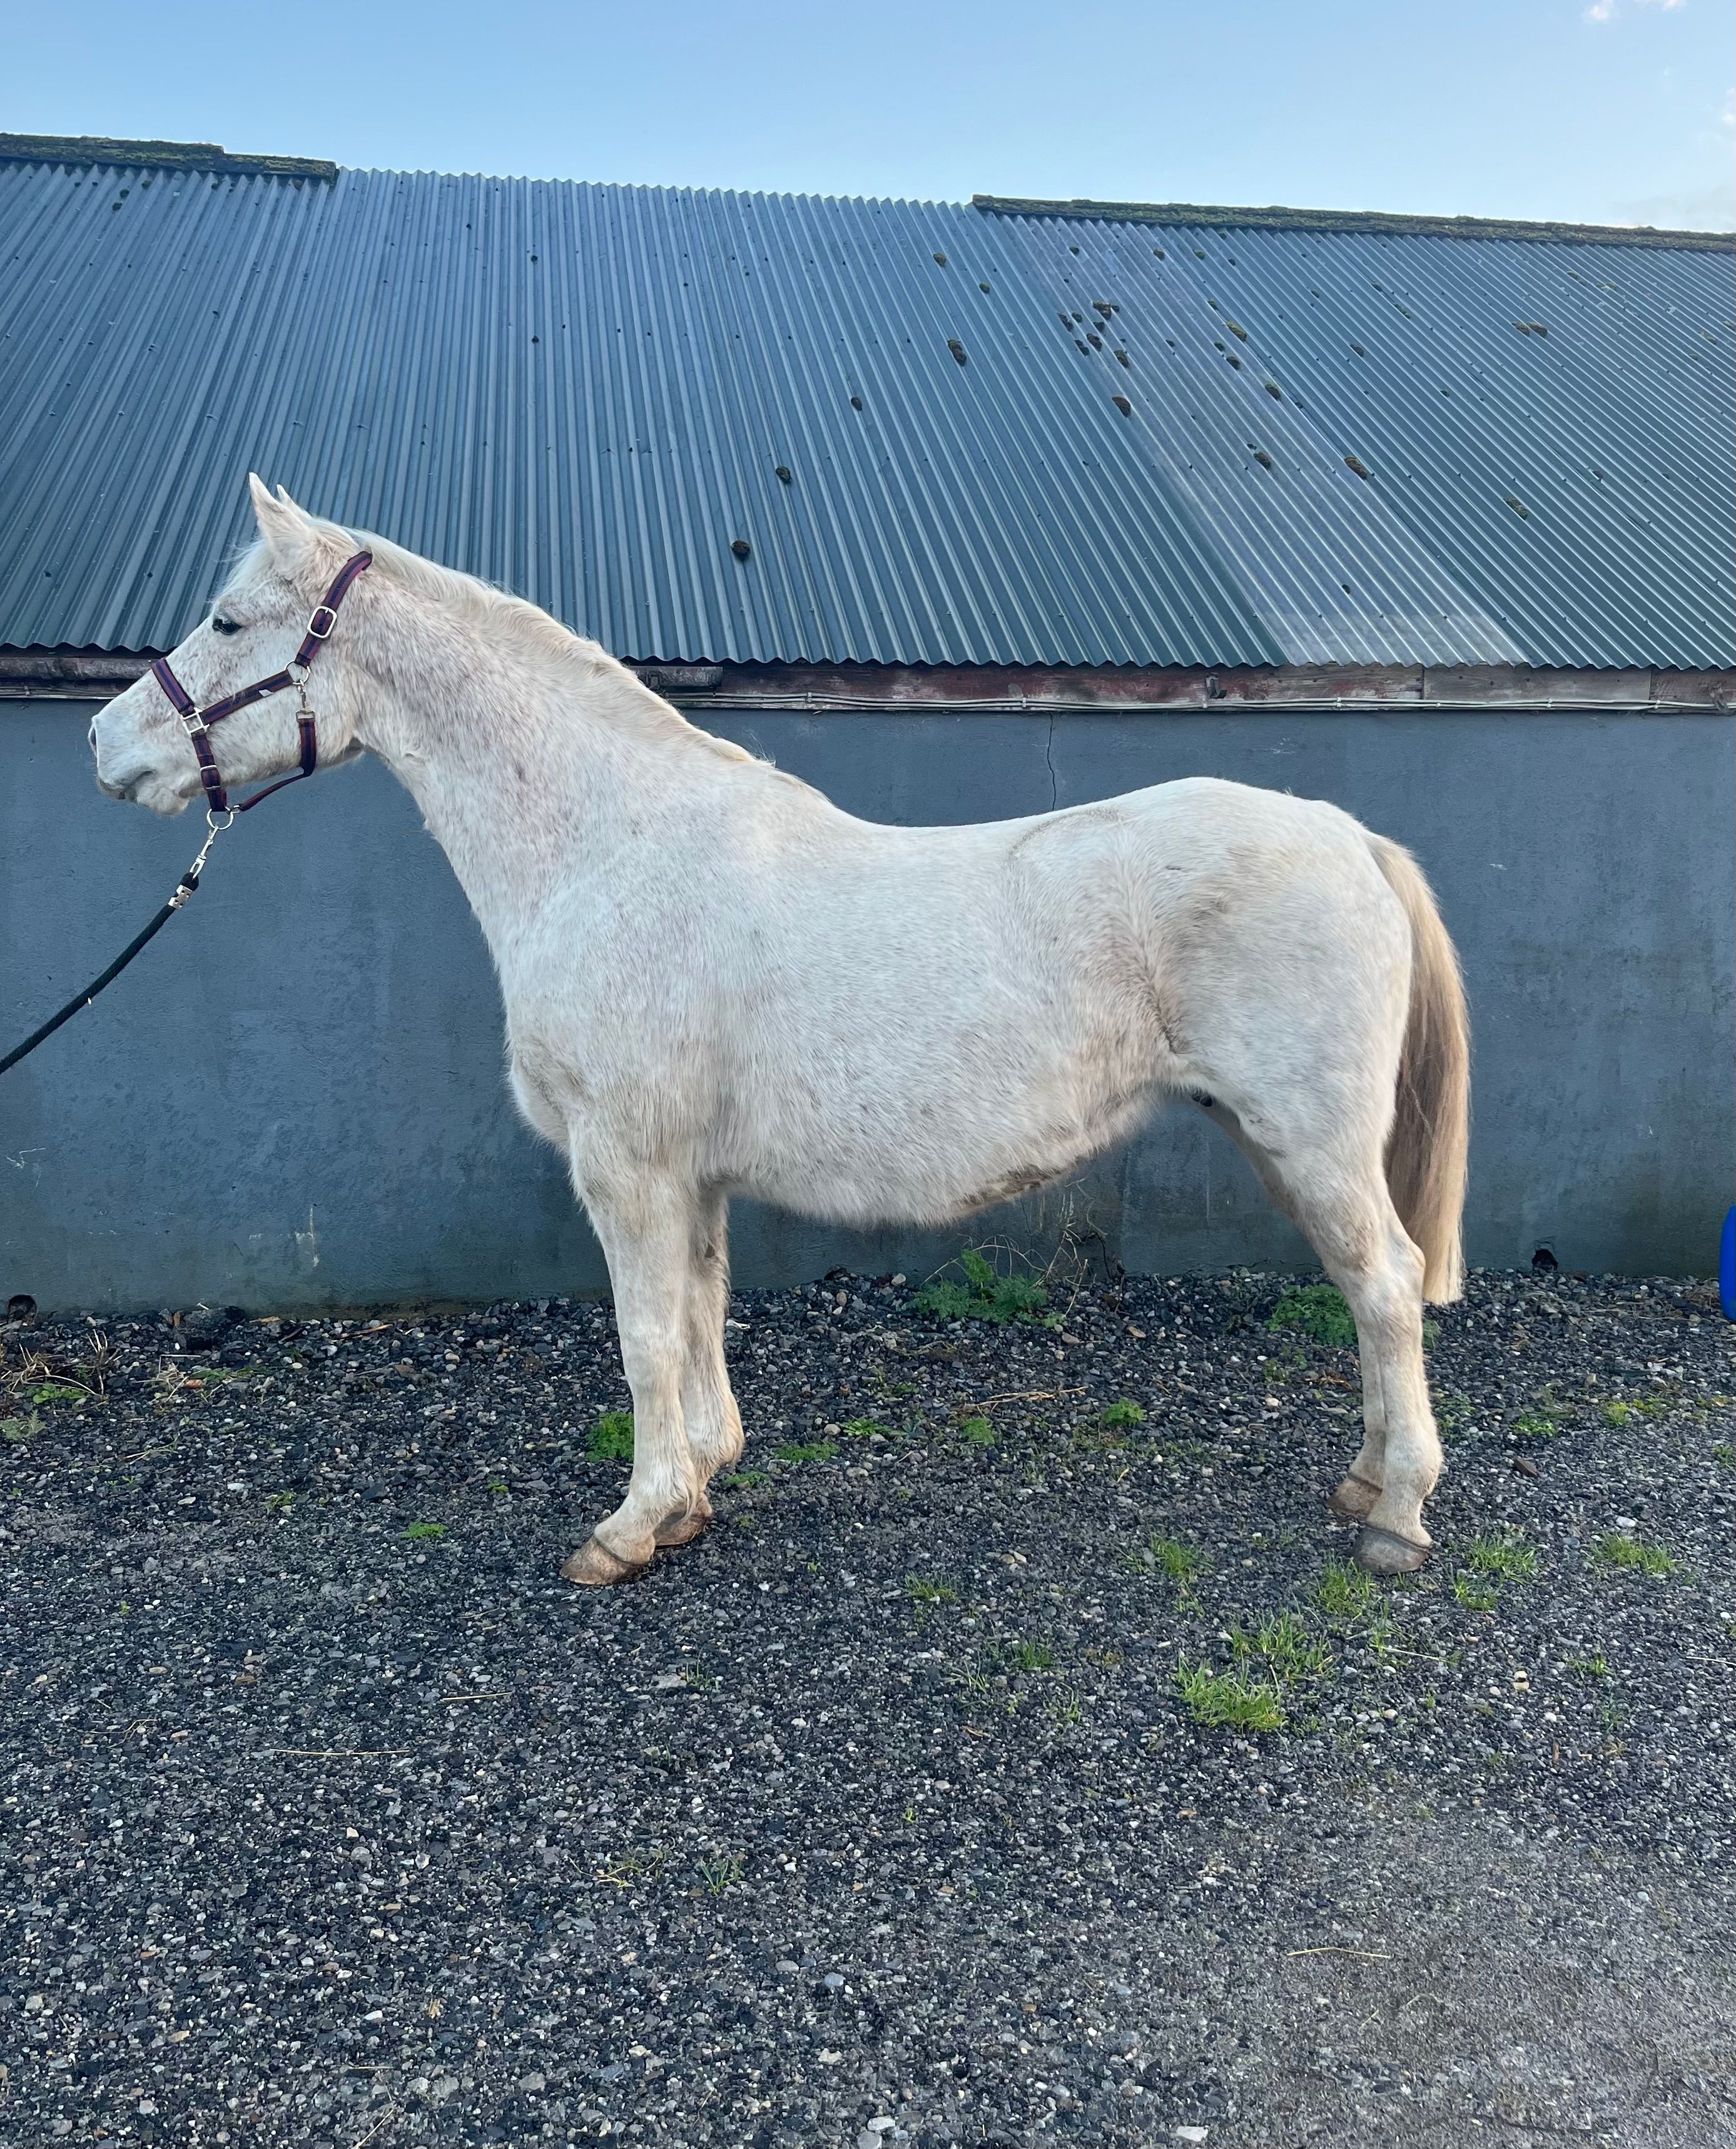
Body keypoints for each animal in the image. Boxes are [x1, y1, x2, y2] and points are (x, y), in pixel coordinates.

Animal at [91, 477, 1471, 1586]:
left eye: (228, 621)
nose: (106, 745)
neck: (604, 849)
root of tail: (1348, 836)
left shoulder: (626, 1168)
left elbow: (646, 1338)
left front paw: (627, 1528)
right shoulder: (690, 1177)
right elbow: (699, 1321)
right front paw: (695, 1491)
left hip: (1311, 1142)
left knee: (1387, 1286)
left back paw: (1394, 1517)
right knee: (1367, 1291)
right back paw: (1361, 1480)